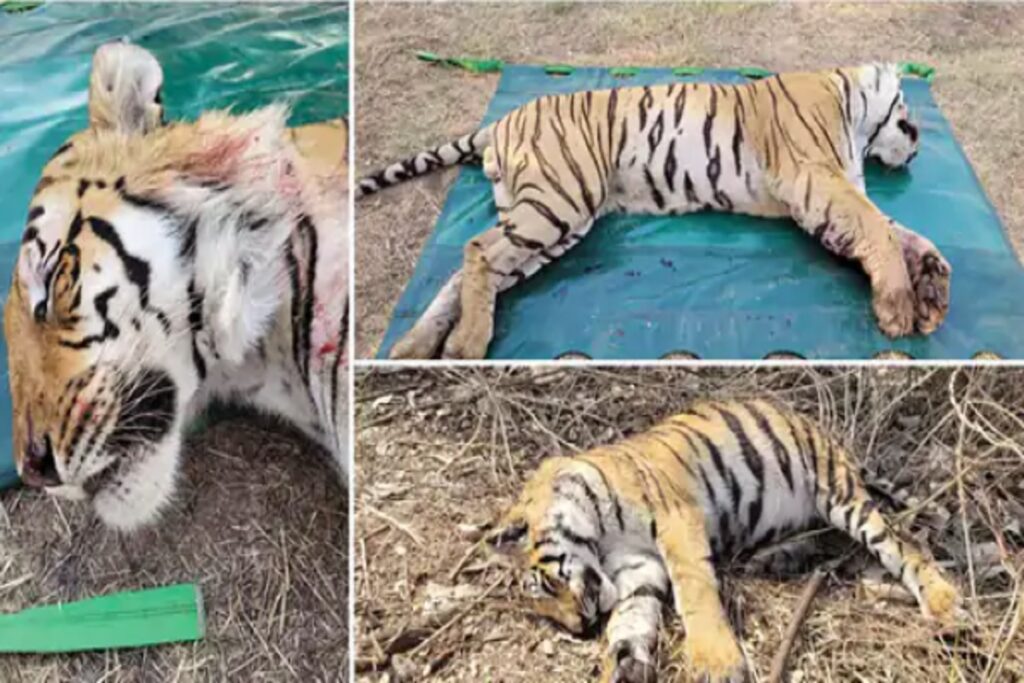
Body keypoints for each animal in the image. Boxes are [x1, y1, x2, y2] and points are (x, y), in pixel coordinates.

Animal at [358, 63, 952, 360]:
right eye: (907, 110)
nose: (920, 140)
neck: (850, 100)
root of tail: (501, 120)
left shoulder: (829, 194)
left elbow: (893, 230)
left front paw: (930, 281)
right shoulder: (815, 179)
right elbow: (878, 227)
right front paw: (900, 304)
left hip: (556, 221)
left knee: (465, 268)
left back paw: (416, 345)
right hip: (559, 200)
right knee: (477, 248)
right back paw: (464, 345)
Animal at [485, 399, 961, 683]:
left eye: (547, 586)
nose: (581, 628)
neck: (600, 541)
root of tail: (818, 428)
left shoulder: (677, 521)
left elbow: (695, 593)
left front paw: (716, 662)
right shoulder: (638, 568)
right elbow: (631, 617)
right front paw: (622, 664)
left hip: (838, 494)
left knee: (904, 545)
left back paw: (943, 604)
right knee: (825, 538)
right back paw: (775, 559)